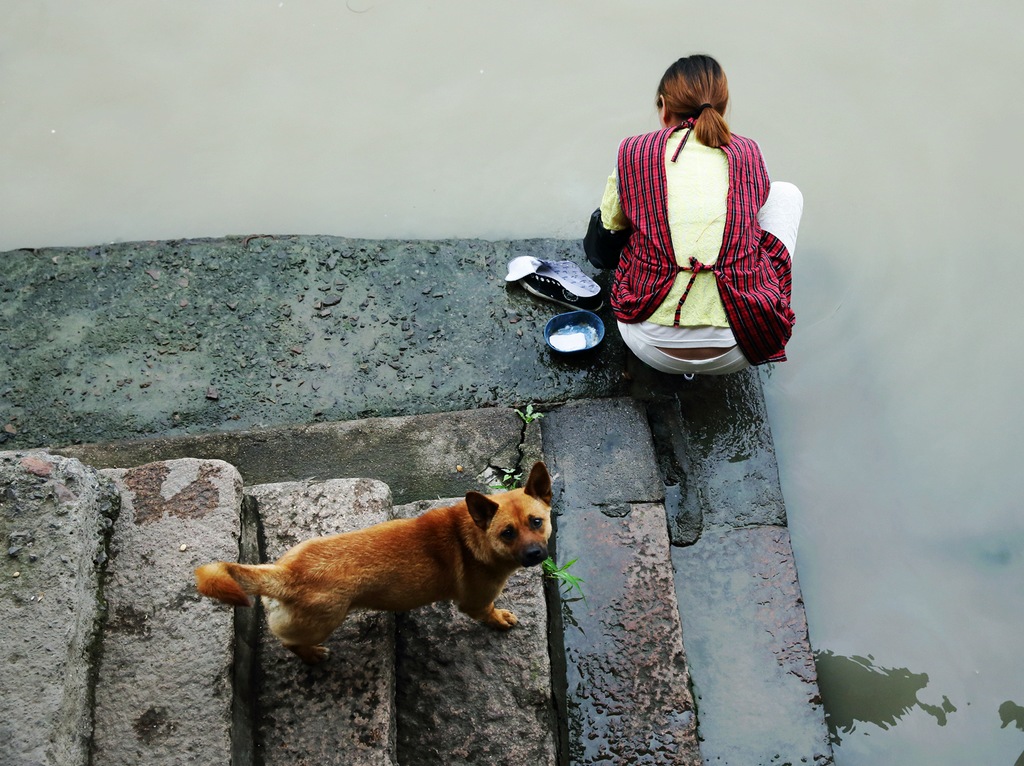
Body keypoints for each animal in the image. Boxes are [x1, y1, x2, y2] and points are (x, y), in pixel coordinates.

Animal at [192, 460, 552, 663]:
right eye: (507, 533)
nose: (536, 555)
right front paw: (501, 619)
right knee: (289, 642)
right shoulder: (476, 603)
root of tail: (285, 573)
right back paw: (312, 656)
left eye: (536, 522)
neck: (472, 536)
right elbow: (489, 612)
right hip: (323, 622)